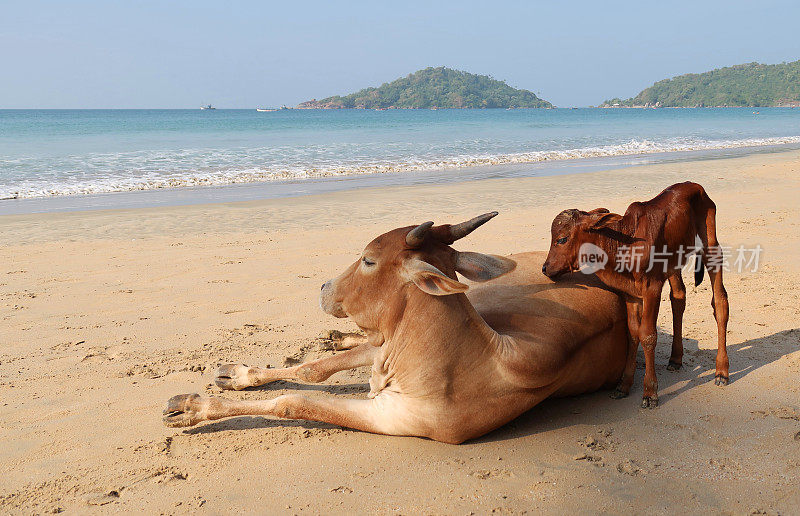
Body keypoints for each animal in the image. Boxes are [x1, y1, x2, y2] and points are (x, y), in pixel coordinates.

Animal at [164, 214, 632, 444]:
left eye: (369, 259)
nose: (323, 287)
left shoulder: (393, 418)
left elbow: (293, 402)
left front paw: (192, 407)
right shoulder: (385, 353)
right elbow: (312, 371)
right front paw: (239, 377)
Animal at [540, 181, 728, 408]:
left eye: (562, 239)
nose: (545, 268)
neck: (624, 246)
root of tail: (695, 185)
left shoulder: (652, 287)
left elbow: (648, 334)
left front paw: (650, 392)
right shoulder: (630, 294)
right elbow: (633, 334)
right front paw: (624, 386)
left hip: (711, 248)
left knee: (720, 302)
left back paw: (722, 371)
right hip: (673, 264)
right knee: (678, 298)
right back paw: (676, 359)